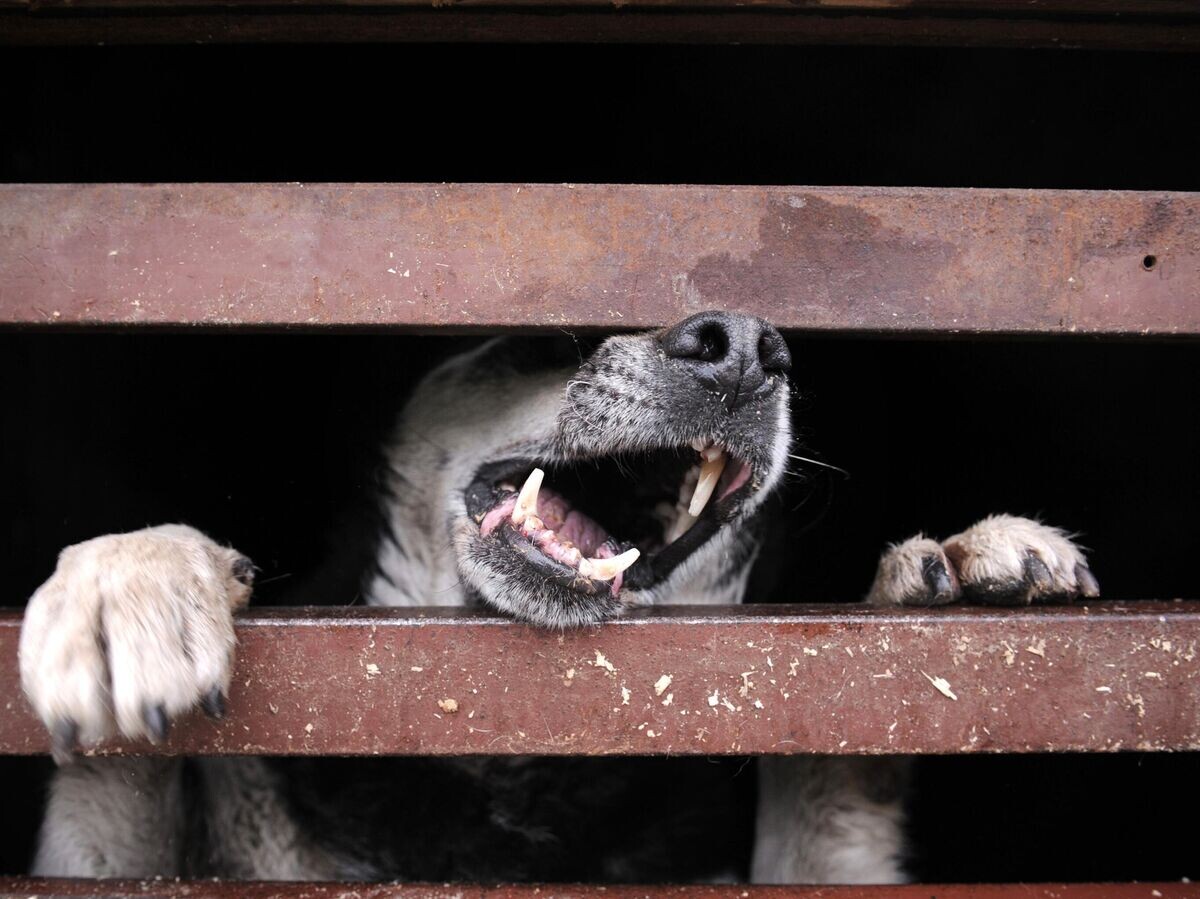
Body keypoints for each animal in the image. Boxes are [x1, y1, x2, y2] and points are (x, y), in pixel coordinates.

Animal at [16, 312, 1099, 878]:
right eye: (538, 336)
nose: (747, 347)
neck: (508, 759)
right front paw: (132, 582)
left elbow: (833, 772)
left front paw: (946, 576)